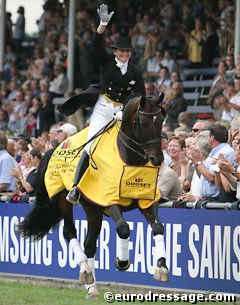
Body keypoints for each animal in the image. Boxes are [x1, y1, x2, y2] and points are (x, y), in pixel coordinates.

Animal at [17, 94, 169, 298]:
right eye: (143, 123)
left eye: (161, 121)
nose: (157, 159)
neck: (129, 159)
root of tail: (57, 147)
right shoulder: (109, 200)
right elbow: (123, 229)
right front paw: (122, 262)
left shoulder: (146, 201)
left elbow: (158, 227)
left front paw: (161, 267)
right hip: (64, 201)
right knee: (70, 233)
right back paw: (86, 272)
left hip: (93, 209)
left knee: (90, 245)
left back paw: (92, 286)